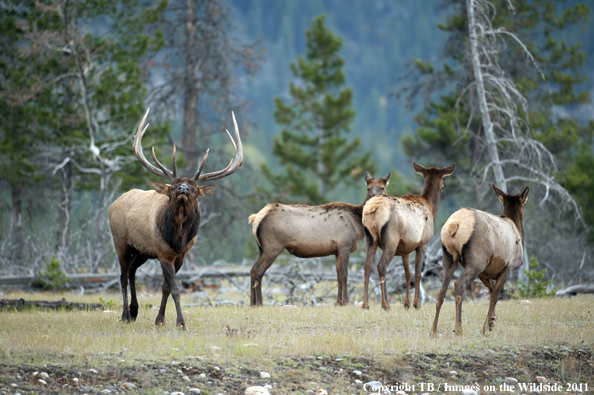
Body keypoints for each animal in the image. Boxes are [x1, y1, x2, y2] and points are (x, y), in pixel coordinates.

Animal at [107, 106, 242, 330]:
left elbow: (166, 287)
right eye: (173, 186)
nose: (183, 189)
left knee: (132, 271)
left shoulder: (180, 255)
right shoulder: (163, 253)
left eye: (194, 189)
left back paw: (134, 311)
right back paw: (125, 315)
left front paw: (160, 320)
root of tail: (113, 203)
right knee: (123, 275)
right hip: (121, 242)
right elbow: (176, 288)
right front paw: (181, 323)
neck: (178, 238)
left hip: (142, 250)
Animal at [247, 172, 390, 306]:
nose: (373, 198)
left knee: (252, 269)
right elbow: (344, 275)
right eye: (368, 188)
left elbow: (338, 276)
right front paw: (346, 301)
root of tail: (255, 217)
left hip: (263, 248)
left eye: (382, 187)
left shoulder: (337, 250)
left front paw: (338, 302)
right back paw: (259, 303)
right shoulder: (344, 246)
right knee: (258, 271)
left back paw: (252, 303)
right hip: (272, 246)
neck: (358, 224)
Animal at [358, 162, 456, 310]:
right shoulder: (423, 243)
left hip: (369, 239)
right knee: (381, 266)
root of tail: (374, 209)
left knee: (367, 266)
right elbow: (418, 274)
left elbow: (407, 274)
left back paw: (365, 304)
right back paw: (385, 304)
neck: (431, 207)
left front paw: (406, 303)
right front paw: (416, 303)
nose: (443, 187)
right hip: (391, 240)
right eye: (443, 179)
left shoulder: (405, 249)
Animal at [430, 184, 528, 336]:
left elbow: (492, 291)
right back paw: (458, 329)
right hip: (476, 262)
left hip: (448, 258)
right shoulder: (508, 268)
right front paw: (486, 328)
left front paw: (492, 321)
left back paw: (433, 330)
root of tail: (454, 225)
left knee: (442, 291)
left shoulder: (485, 274)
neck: (516, 228)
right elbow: (495, 296)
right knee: (459, 284)